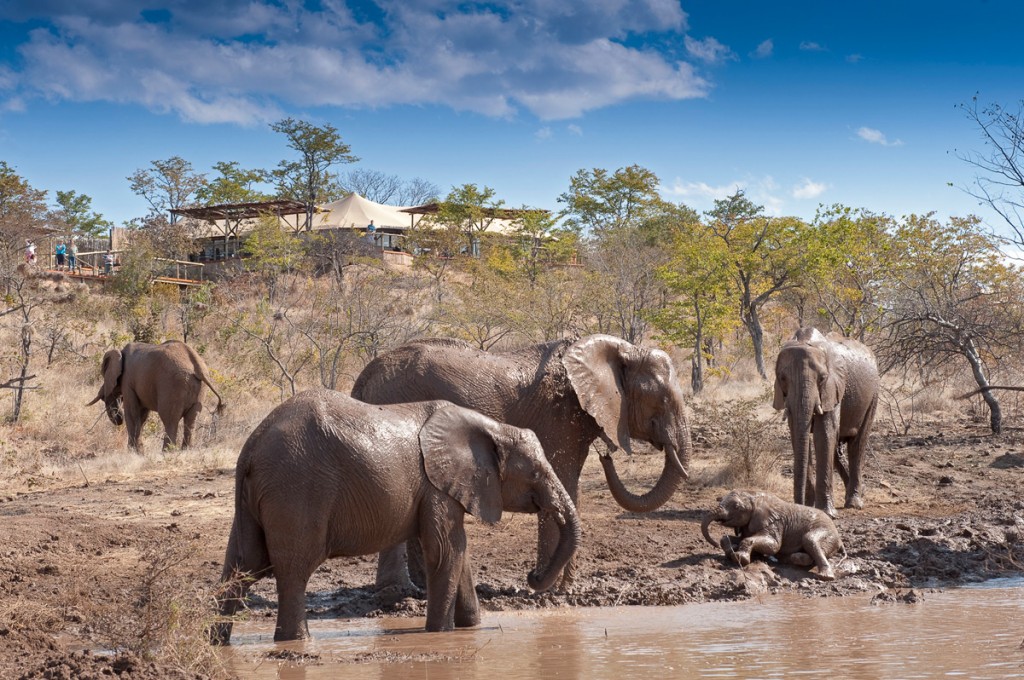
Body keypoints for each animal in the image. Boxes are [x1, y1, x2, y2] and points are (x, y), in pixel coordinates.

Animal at [87, 340, 225, 450]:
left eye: (103, 374)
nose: (118, 417)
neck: (120, 353)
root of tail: (198, 366)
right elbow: (142, 416)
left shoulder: (127, 380)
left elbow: (132, 413)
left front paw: (133, 453)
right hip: (198, 389)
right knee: (191, 420)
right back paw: (186, 451)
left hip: (172, 385)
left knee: (169, 419)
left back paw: (167, 453)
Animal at [211, 387, 581, 643]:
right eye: (535, 473)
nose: (532, 577)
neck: (491, 428)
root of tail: (251, 448)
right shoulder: (436, 485)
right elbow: (445, 550)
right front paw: (440, 634)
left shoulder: (442, 487)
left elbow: (459, 552)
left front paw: (470, 629)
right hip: (296, 487)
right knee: (294, 569)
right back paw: (295, 642)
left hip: (257, 499)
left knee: (241, 566)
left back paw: (216, 641)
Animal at [352, 333, 696, 589]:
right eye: (663, 400)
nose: (606, 453)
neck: (618, 349)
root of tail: (363, 378)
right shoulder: (559, 417)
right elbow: (563, 482)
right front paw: (554, 592)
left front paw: (562, 589)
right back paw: (398, 594)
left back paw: (418, 591)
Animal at [700, 489, 843, 577]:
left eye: (737, 507)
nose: (714, 545)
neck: (755, 497)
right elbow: (731, 538)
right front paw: (730, 552)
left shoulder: (775, 523)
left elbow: (773, 545)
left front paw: (739, 558)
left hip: (827, 532)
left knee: (809, 539)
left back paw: (825, 576)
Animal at [770, 327, 876, 516]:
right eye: (782, 378)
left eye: (822, 378)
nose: (798, 505)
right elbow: (798, 434)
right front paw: (809, 506)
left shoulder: (833, 387)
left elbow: (824, 434)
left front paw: (828, 513)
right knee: (837, 449)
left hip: (873, 395)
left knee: (857, 444)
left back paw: (854, 502)